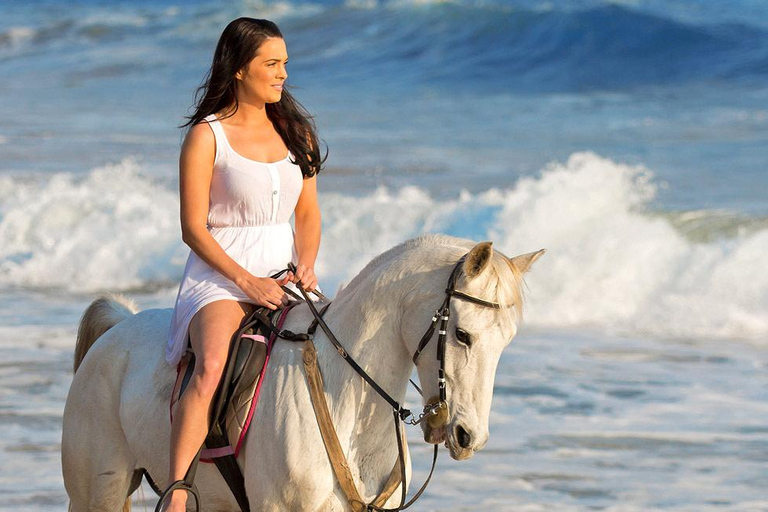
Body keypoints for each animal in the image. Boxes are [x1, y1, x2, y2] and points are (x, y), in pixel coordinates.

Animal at [63, 234, 544, 510]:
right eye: (462, 334)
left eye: (507, 341)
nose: (469, 436)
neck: (344, 394)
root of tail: (118, 328)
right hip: (97, 494)